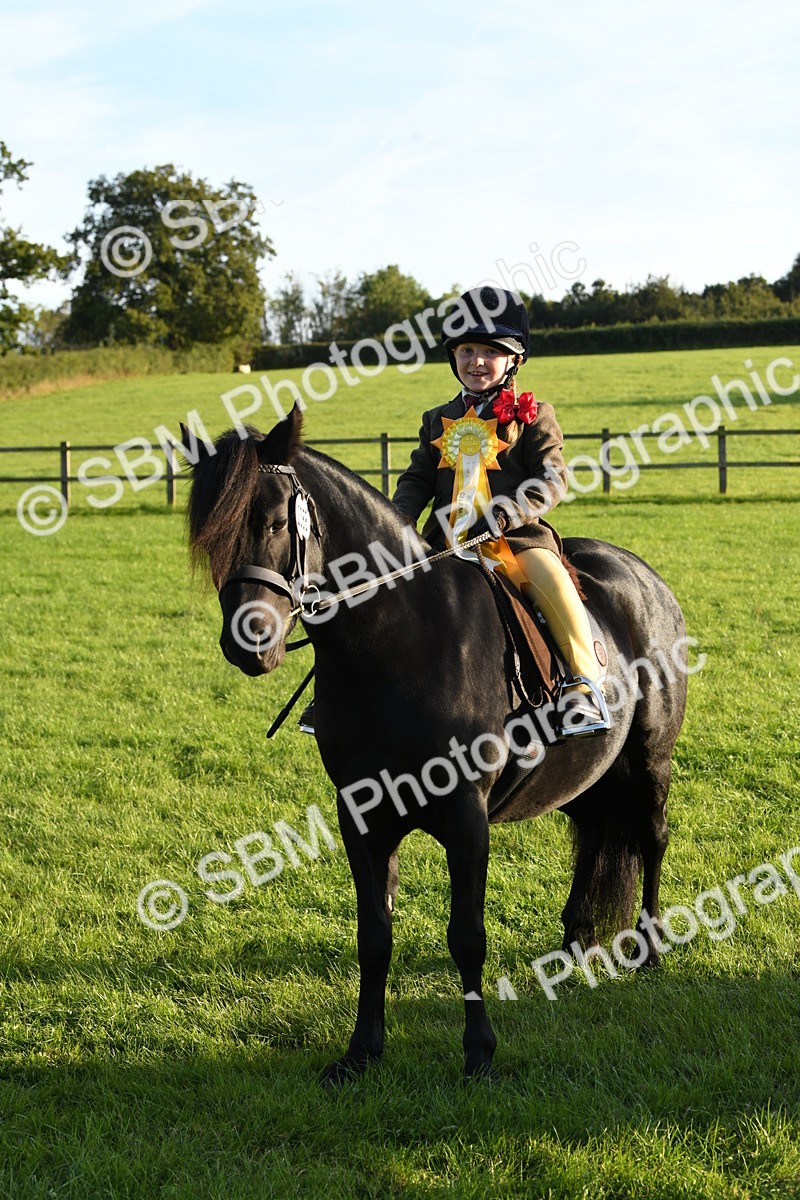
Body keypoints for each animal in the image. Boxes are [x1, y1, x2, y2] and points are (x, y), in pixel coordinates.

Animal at [184, 407, 688, 1085]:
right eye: (211, 537)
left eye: (272, 522)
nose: (248, 643)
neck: (398, 642)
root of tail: (641, 574)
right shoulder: (361, 815)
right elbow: (374, 935)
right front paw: (361, 1051)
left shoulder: (465, 815)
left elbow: (466, 935)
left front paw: (478, 1053)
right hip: (587, 775)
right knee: (592, 836)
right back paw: (574, 945)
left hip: (650, 760)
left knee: (652, 838)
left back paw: (652, 949)